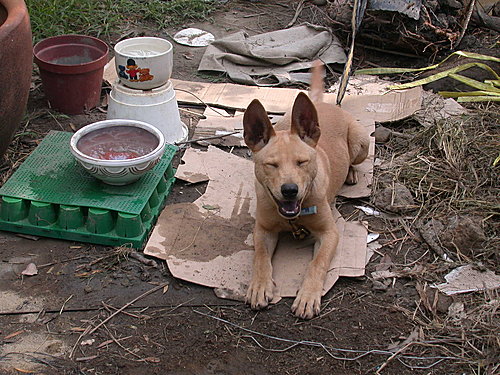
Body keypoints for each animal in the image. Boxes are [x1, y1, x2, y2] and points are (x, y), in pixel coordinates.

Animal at [244, 62, 370, 320]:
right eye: (271, 165)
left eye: (302, 162)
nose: (290, 190)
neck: (294, 216)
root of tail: (327, 105)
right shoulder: (262, 229)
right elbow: (260, 257)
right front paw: (260, 286)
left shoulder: (329, 232)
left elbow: (317, 263)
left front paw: (308, 296)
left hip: (361, 142)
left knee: (355, 159)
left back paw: (351, 173)